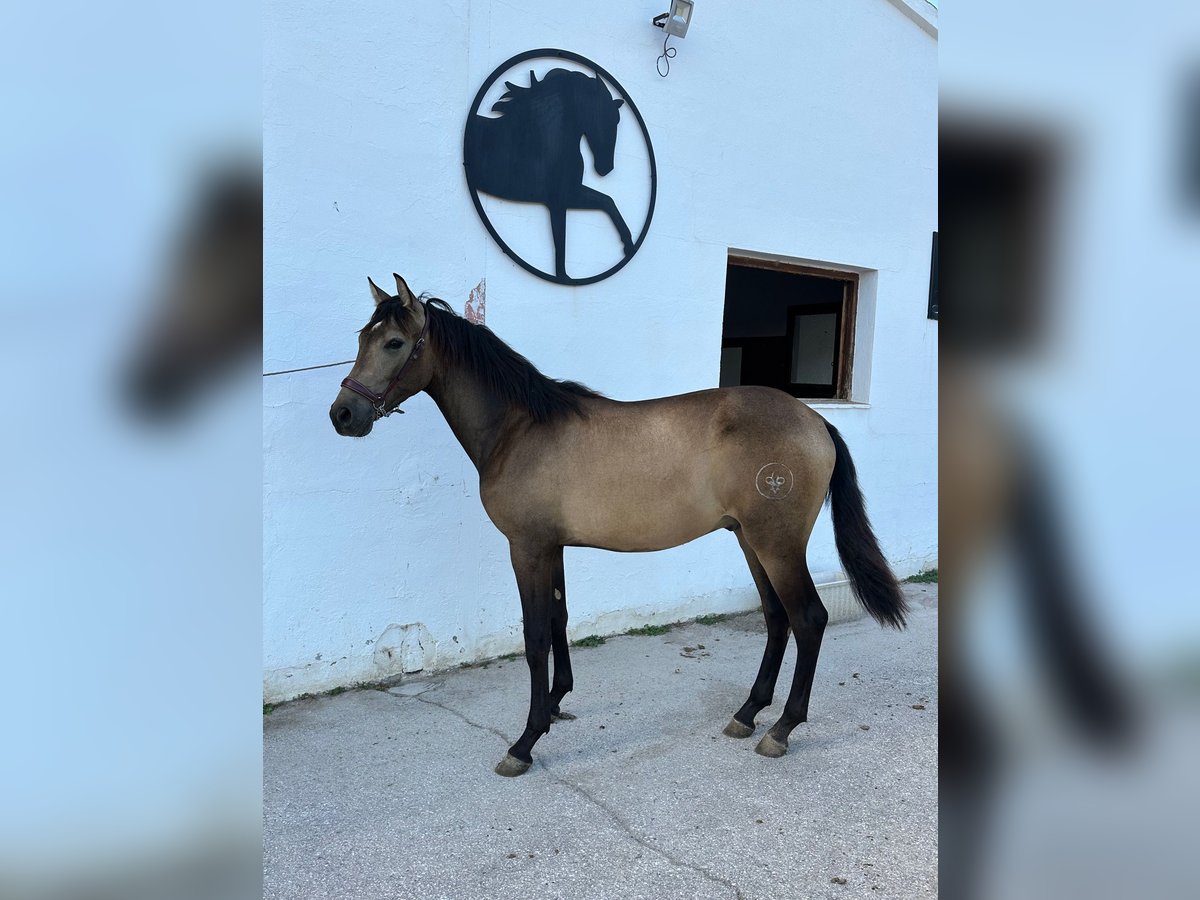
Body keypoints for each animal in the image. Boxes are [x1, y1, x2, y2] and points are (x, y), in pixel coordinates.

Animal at [328, 274, 907, 777]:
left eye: (395, 343)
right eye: (362, 337)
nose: (344, 415)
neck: (520, 428)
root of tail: (816, 419)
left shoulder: (527, 548)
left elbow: (534, 636)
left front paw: (526, 741)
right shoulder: (553, 548)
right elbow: (558, 621)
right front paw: (556, 704)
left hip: (777, 544)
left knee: (808, 619)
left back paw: (781, 729)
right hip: (750, 540)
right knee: (776, 618)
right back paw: (747, 714)